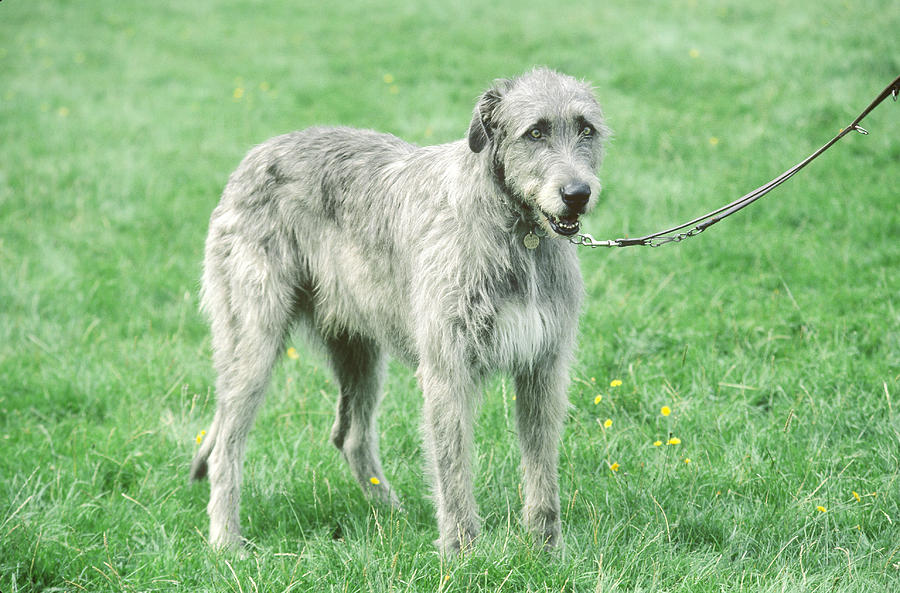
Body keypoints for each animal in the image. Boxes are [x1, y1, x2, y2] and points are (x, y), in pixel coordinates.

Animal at [192, 69, 612, 556]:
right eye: (536, 132)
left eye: (586, 129)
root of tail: (252, 157)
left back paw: (391, 512)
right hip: (253, 341)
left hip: (359, 351)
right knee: (226, 442)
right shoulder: (447, 368)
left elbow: (541, 465)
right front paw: (461, 553)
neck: (516, 229)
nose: (577, 195)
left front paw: (547, 549)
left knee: (351, 436)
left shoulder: (543, 366)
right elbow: (453, 469)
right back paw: (226, 540)